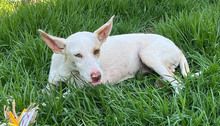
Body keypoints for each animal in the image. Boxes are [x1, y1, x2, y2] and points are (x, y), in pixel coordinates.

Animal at [38, 15, 195, 94]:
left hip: (148, 55)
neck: (68, 69)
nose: (97, 76)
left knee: (178, 82)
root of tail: (177, 47)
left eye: (96, 51)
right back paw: (160, 82)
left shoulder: (84, 88)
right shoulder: (51, 84)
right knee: (172, 72)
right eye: (77, 55)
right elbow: (41, 97)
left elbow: (61, 96)